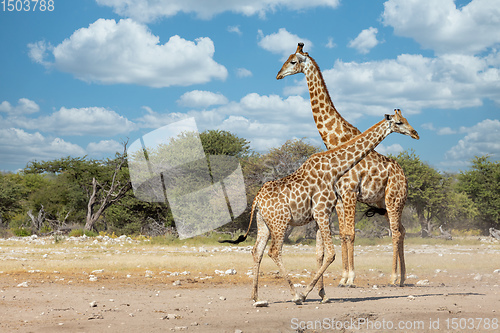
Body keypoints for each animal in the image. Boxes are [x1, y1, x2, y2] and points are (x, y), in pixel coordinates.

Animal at [223, 109, 418, 304]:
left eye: (406, 119)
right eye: (399, 122)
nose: (415, 133)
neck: (333, 170)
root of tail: (256, 200)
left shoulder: (319, 216)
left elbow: (320, 254)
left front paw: (323, 294)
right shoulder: (323, 212)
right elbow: (331, 253)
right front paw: (306, 293)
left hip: (263, 222)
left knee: (257, 251)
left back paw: (255, 296)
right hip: (280, 222)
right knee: (274, 251)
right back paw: (295, 295)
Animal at [276, 42, 412, 288]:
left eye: (293, 61)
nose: (278, 75)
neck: (335, 139)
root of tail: (404, 176)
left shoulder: (349, 193)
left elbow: (350, 233)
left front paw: (349, 278)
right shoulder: (339, 197)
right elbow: (344, 234)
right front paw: (342, 277)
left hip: (393, 199)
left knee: (396, 233)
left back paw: (393, 278)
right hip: (387, 203)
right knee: (402, 230)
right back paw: (403, 277)